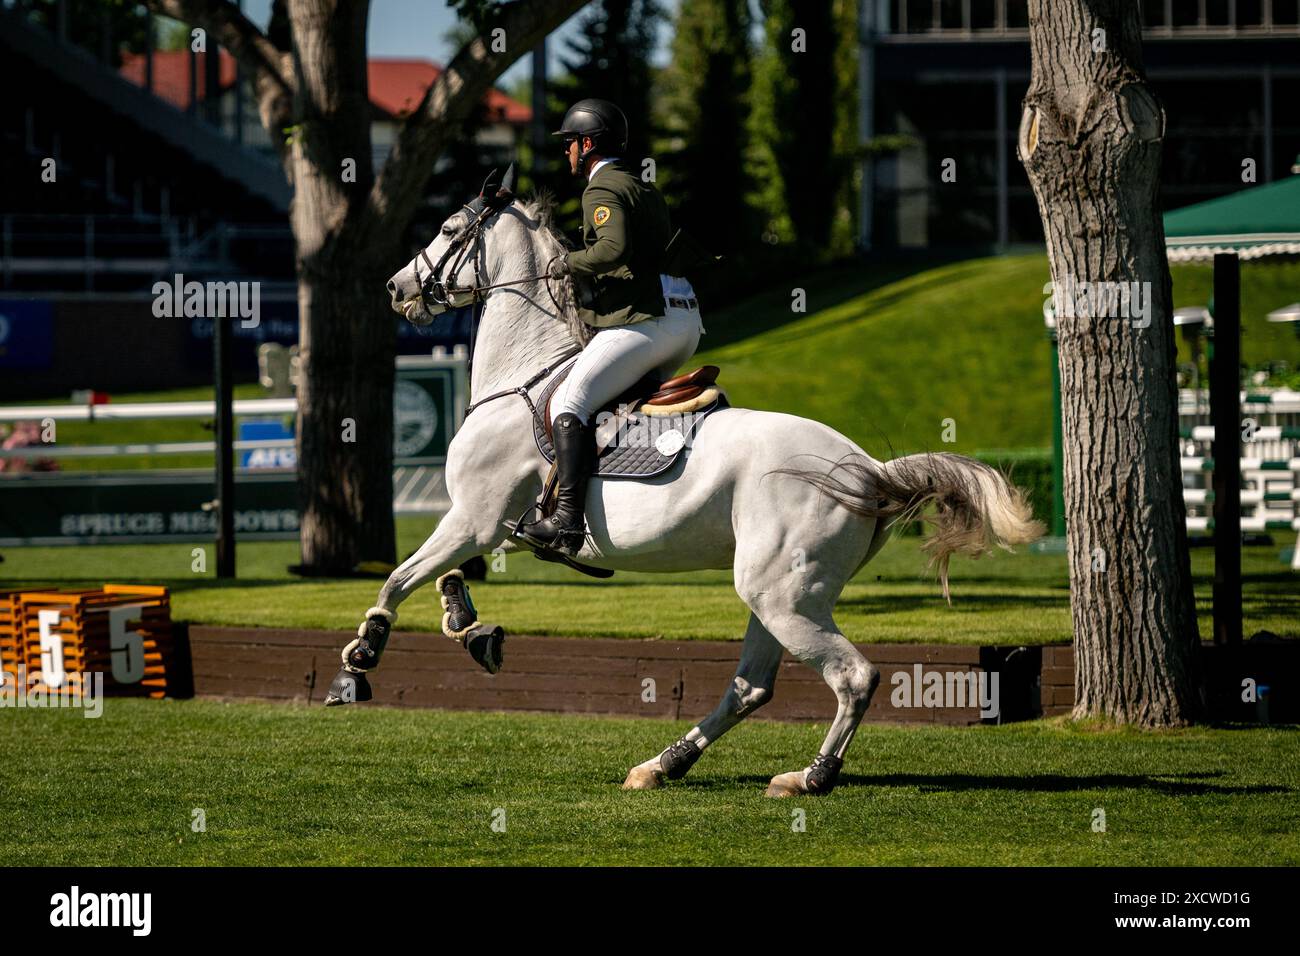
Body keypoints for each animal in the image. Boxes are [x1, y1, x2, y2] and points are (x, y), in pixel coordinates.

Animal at [327, 183, 1045, 796]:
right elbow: (443, 573)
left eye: (449, 229)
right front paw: (469, 626)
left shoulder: (475, 517)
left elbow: (399, 577)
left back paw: (809, 776)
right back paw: (664, 764)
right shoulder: (484, 523)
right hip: (775, 592)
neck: (522, 376)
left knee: (852, 676)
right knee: (752, 687)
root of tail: (868, 468)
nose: (396, 287)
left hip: (782, 596)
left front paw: (362, 656)